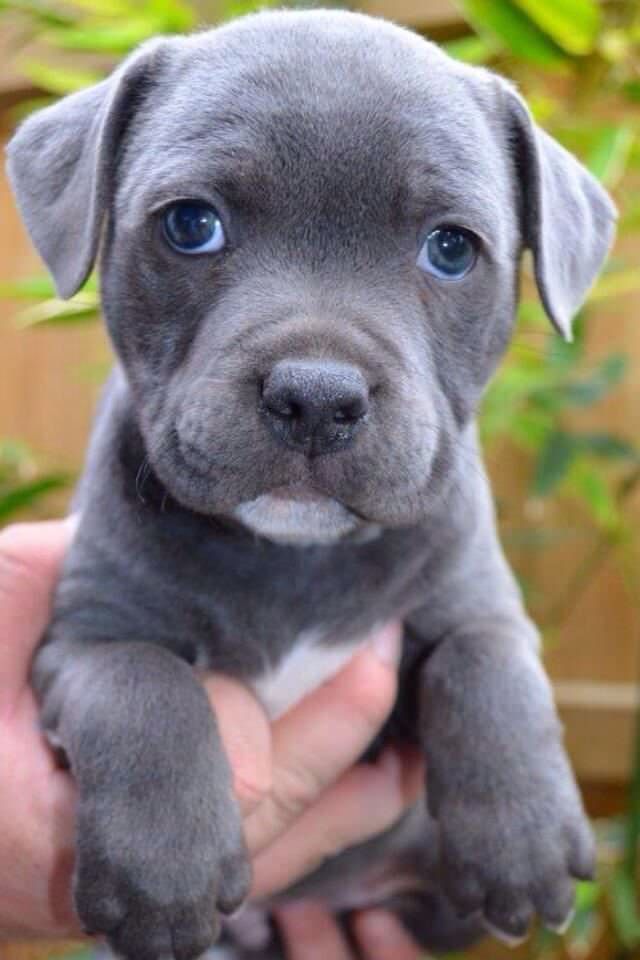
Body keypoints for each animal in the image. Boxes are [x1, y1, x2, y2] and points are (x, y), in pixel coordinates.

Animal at [5, 9, 616, 960]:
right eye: (191, 225)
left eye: (451, 248)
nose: (317, 396)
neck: (294, 555)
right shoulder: (87, 635)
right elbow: (143, 689)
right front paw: (163, 879)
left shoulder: (478, 596)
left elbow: (487, 663)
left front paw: (524, 841)